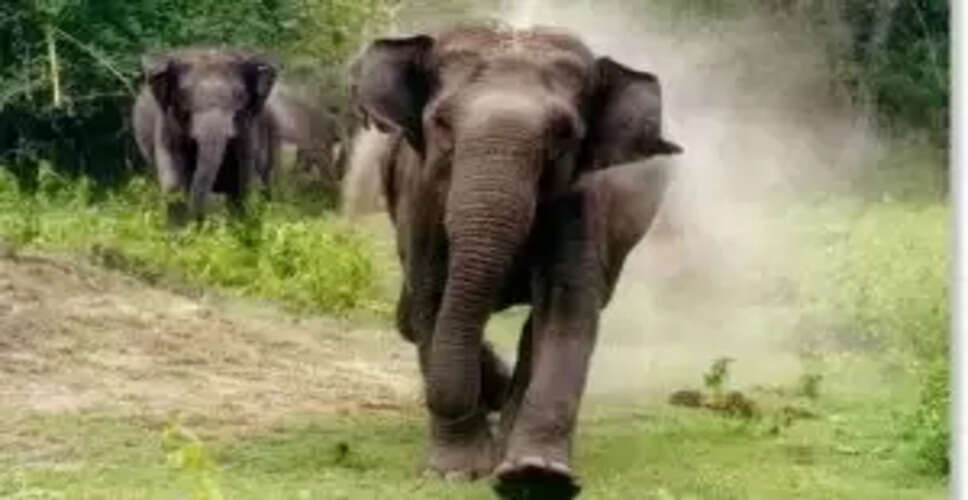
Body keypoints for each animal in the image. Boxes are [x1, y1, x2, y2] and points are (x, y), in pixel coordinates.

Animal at [132, 47, 279, 223]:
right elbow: (173, 175)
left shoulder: (249, 125)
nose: (196, 219)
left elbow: (243, 174)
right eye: (184, 93)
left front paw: (241, 225)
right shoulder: (167, 121)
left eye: (240, 94)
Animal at [347, 23, 682, 498]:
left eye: (563, 134)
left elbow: (568, 310)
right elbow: (432, 299)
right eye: (441, 123)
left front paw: (535, 475)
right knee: (412, 316)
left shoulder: (581, 201)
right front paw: (456, 471)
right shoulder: (420, 196)